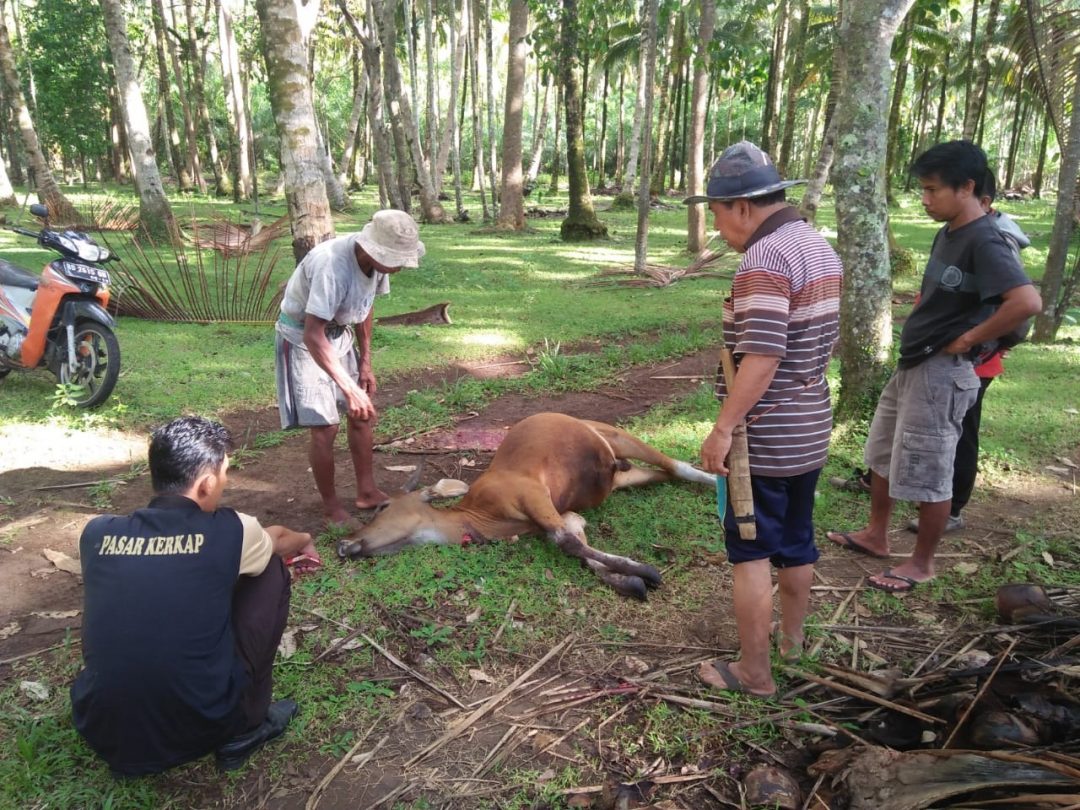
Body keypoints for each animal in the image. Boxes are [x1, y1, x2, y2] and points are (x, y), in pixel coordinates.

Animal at [336, 414, 717, 600]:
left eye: (383, 507)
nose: (343, 544)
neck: (481, 517)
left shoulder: (531, 492)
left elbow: (566, 541)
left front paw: (645, 571)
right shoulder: (559, 513)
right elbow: (575, 538)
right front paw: (628, 581)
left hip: (618, 436)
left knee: (675, 465)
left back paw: (717, 482)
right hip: (624, 477)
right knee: (665, 473)